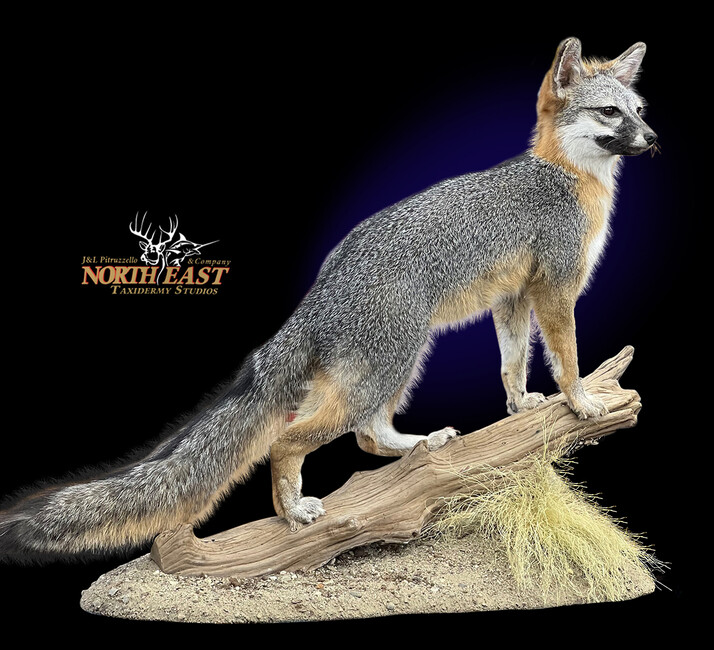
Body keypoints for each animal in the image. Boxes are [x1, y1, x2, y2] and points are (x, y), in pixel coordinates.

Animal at [0, 37, 657, 562]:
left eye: (638, 111)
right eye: (609, 112)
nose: (652, 138)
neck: (566, 176)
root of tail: (319, 292)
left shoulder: (514, 297)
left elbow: (512, 363)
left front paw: (521, 408)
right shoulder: (556, 288)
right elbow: (568, 358)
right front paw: (581, 402)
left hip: (389, 367)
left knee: (366, 436)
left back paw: (415, 446)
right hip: (397, 358)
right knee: (292, 440)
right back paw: (292, 512)